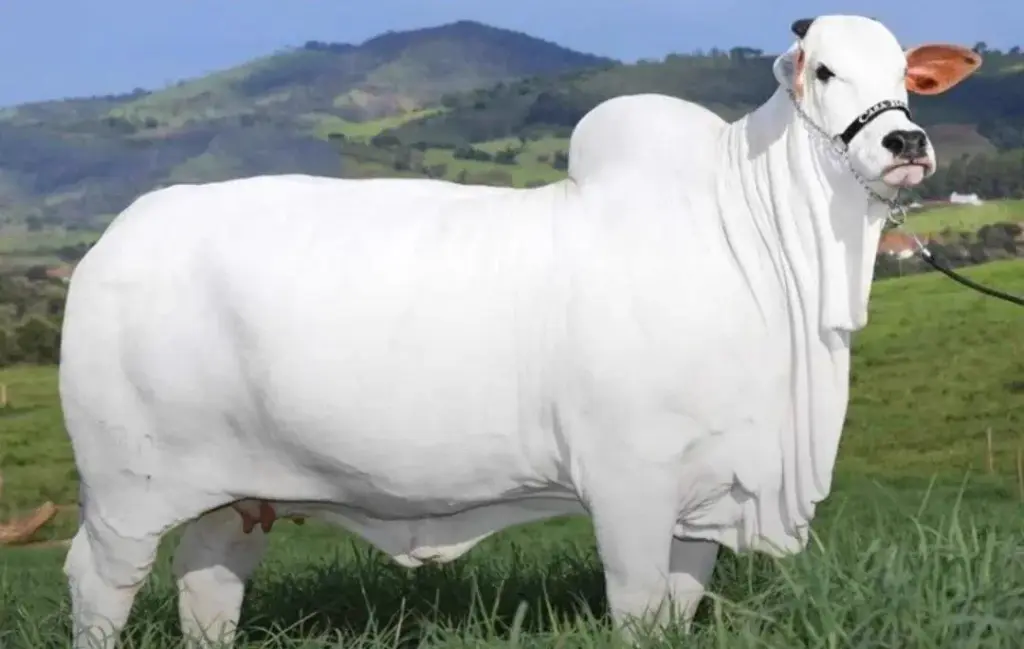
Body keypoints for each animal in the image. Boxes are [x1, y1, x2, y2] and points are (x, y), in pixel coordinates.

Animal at [58, 14, 981, 649]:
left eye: (905, 74)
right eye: (824, 68)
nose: (906, 141)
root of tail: (111, 243)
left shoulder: (705, 496)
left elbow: (677, 610)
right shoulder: (630, 486)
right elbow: (638, 610)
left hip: (237, 496)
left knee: (208, 587)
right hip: (127, 491)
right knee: (98, 585)